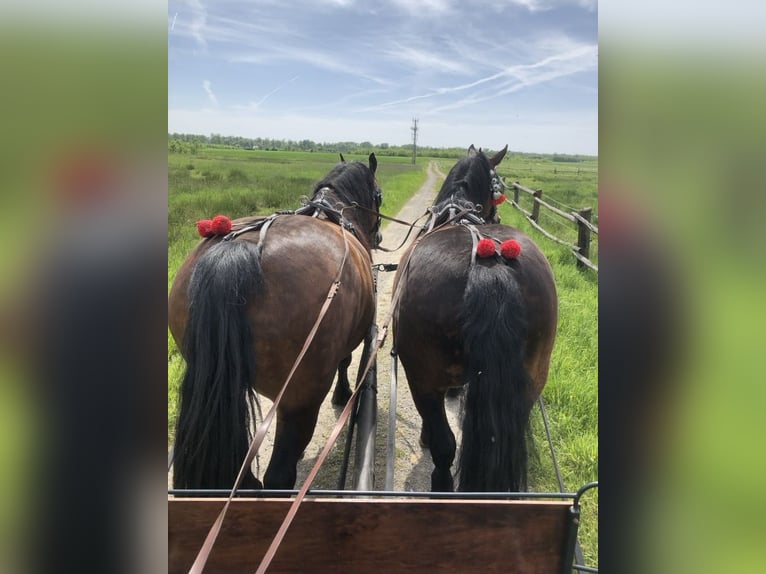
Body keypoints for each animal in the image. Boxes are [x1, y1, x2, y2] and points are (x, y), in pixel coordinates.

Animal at [170, 156, 382, 490]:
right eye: (379, 195)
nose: (379, 237)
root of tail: (238, 252)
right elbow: (345, 361)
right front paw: (343, 394)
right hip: (299, 401)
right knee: (279, 475)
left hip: (224, 388)